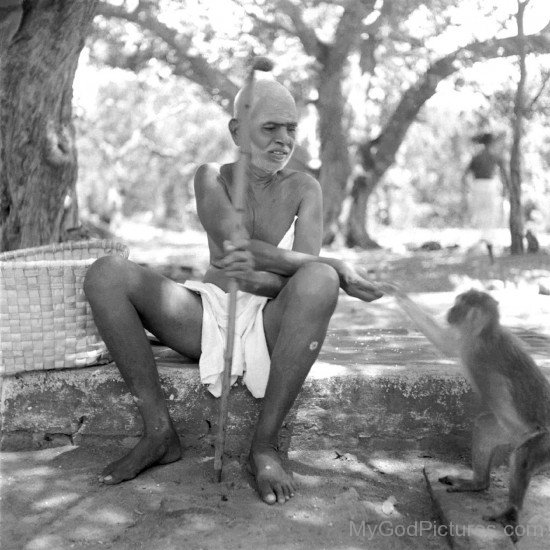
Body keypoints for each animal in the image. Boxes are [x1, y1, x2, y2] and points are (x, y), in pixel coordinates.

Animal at [384, 286, 550, 544]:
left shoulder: (478, 349)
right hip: (509, 433)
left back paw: (510, 512)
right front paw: (393, 291)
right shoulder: (468, 342)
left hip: (545, 442)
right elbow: (444, 342)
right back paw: (478, 483)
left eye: (457, 306)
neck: (483, 332)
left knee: (523, 455)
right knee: (485, 427)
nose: (449, 311)